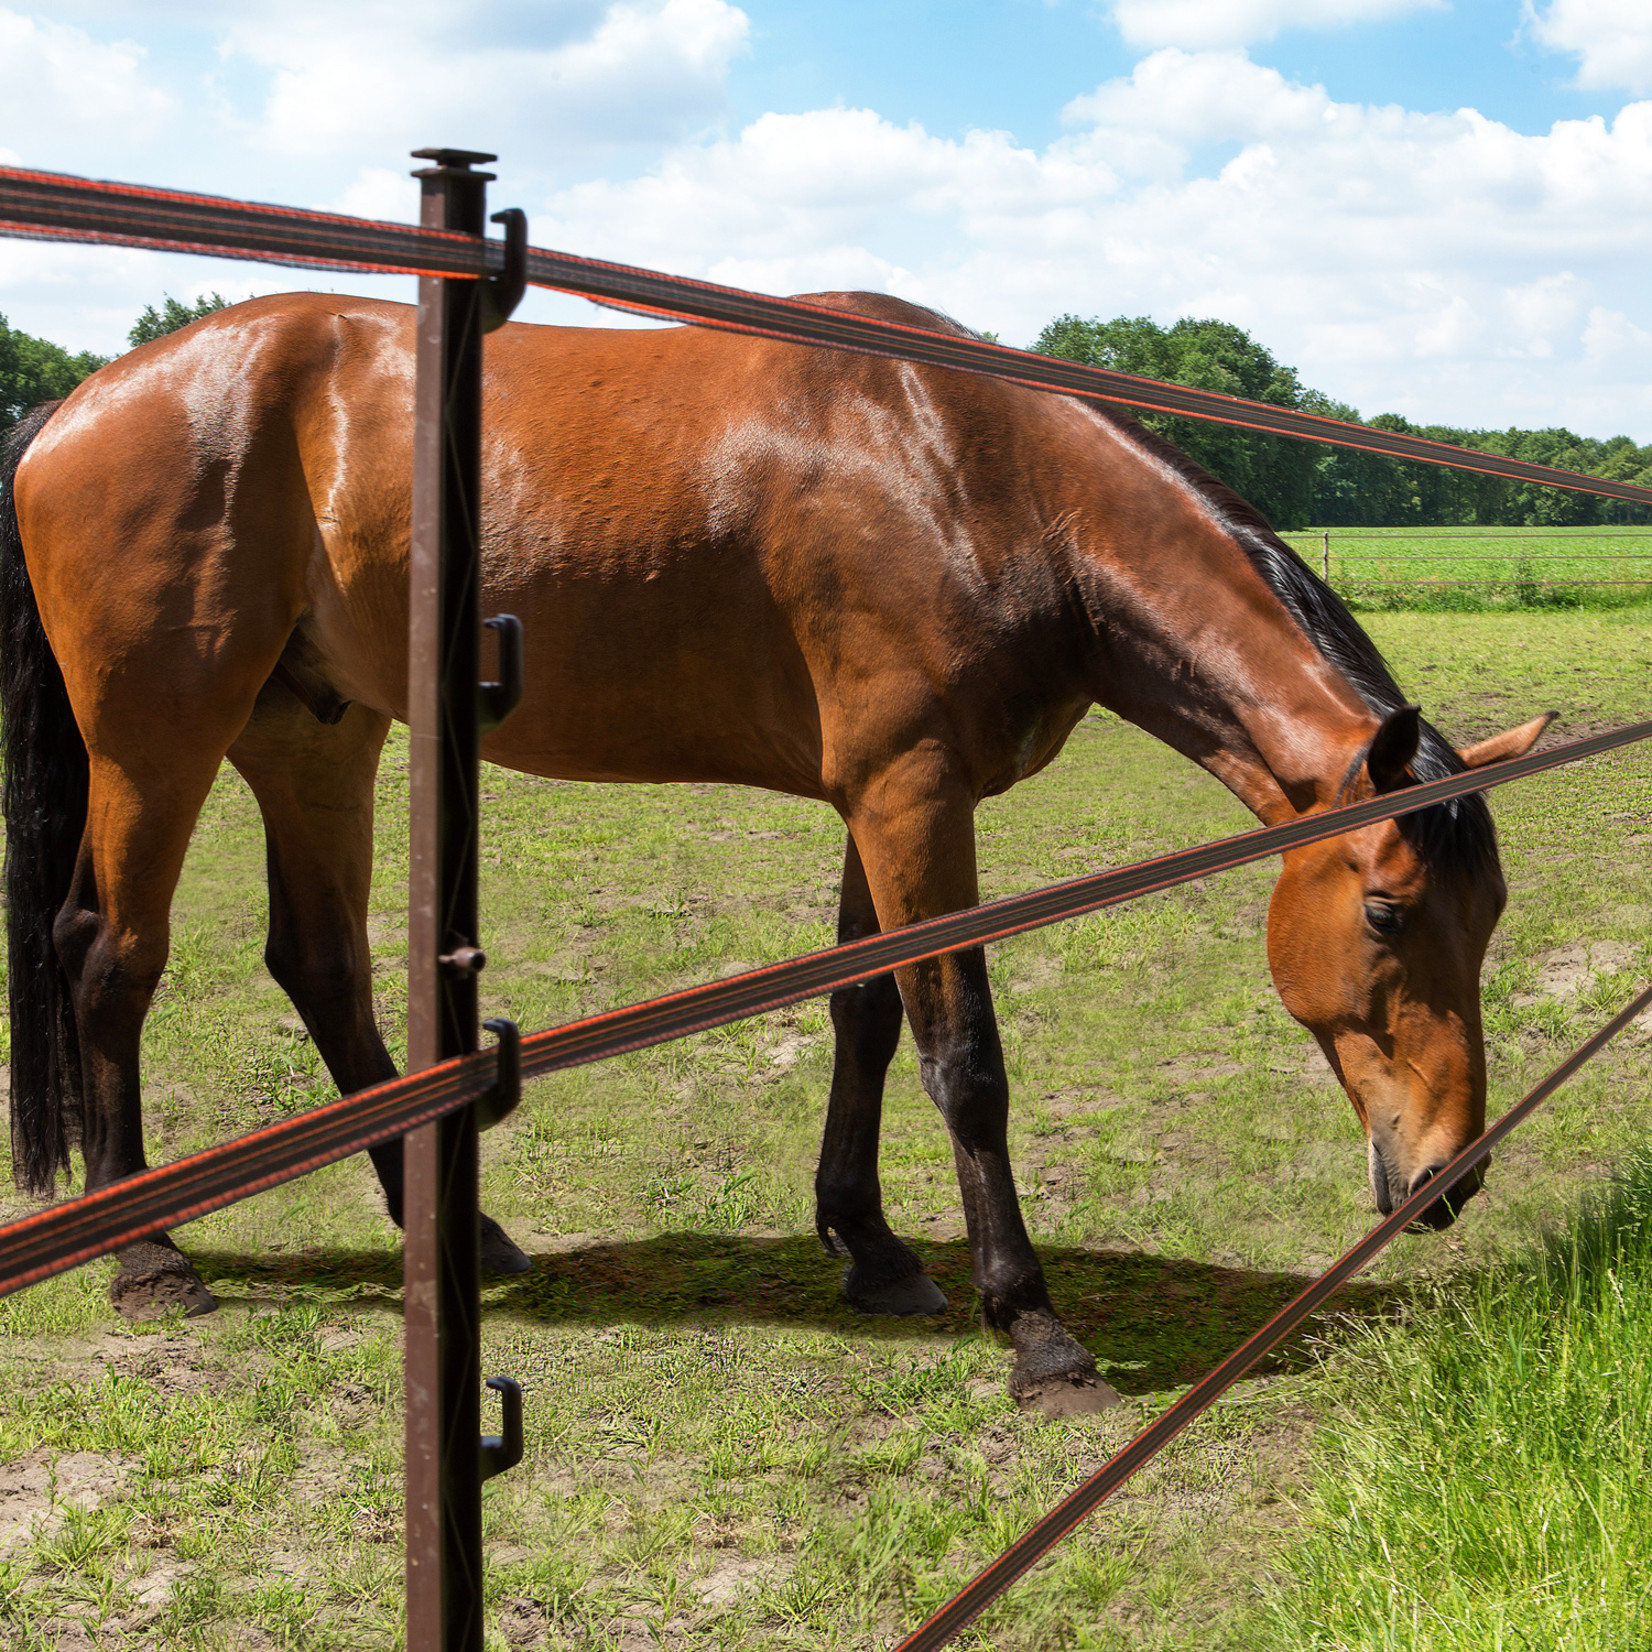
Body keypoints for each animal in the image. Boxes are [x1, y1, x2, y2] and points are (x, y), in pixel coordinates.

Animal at [1, 290, 1548, 1415]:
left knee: (319, 967)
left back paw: (453, 1235)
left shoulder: (886, 798)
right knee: (114, 958)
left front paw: (869, 1247)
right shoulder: (911, 795)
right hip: (160, 742)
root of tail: (75, 405)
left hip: (315, 734)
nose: (1453, 1170)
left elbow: (864, 1011)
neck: (970, 471)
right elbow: (962, 1058)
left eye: (1489, 916)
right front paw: (1034, 1329)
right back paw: (145, 1252)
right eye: (1391, 912)